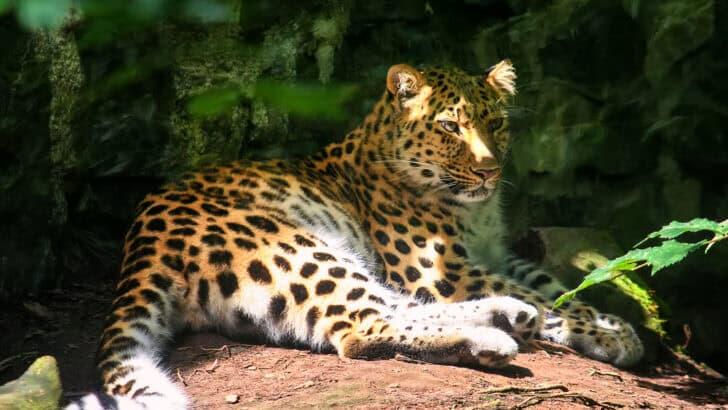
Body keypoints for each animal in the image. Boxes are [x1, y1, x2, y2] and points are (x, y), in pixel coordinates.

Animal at [68, 60, 643, 409]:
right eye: (450, 127)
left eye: (496, 123)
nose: (488, 171)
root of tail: (140, 247)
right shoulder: (440, 269)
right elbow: (546, 295)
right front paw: (608, 333)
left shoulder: (492, 254)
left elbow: (551, 285)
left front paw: (612, 322)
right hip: (296, 247)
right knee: (363, 328)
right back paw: (493, 335)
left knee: (391, 309)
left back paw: (508, 316)